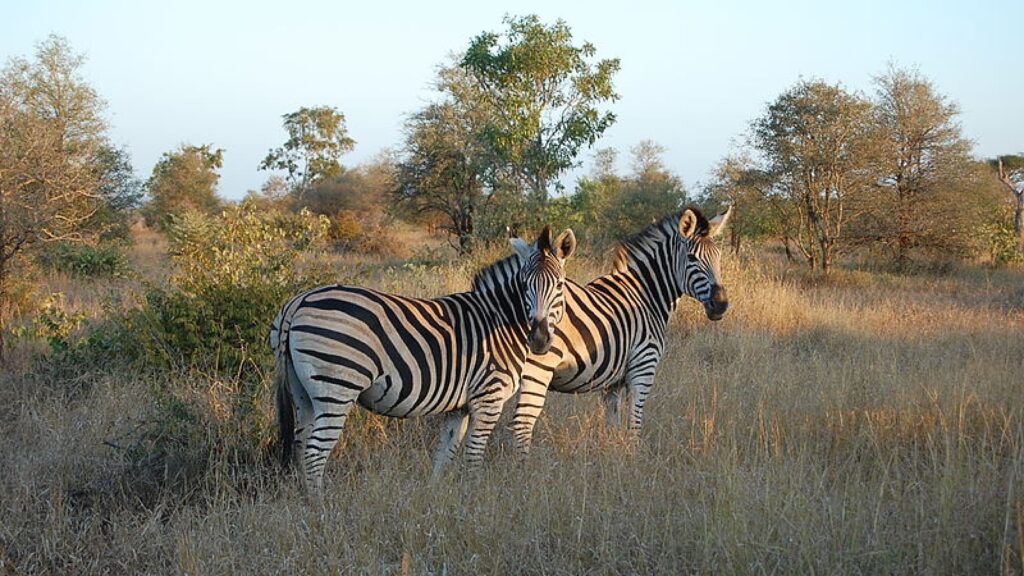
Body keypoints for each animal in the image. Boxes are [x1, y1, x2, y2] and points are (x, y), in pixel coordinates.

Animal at [270, 223, 577, 483]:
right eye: (524, 285)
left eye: (559, 285)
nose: (539, 340)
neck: (499, 319)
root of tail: (299, 301)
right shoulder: (488, 397)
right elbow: (473, 457)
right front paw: (473, 497)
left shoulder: (460, 406)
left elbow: (445, 453)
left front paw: (437, 496)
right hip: (336, 386)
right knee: (314, 453)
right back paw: (319, 508)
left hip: (303, 391)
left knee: (300, 445)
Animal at [507, 206, 733, 453]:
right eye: (692, 258)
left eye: (719, 257)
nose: (721, 304)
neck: (646, 295)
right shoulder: (643, 368)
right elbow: (634, 425)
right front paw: (633, 457)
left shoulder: (612, 382)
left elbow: (612, 425)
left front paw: (611, 454)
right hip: (538, 368)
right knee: (522, 424)